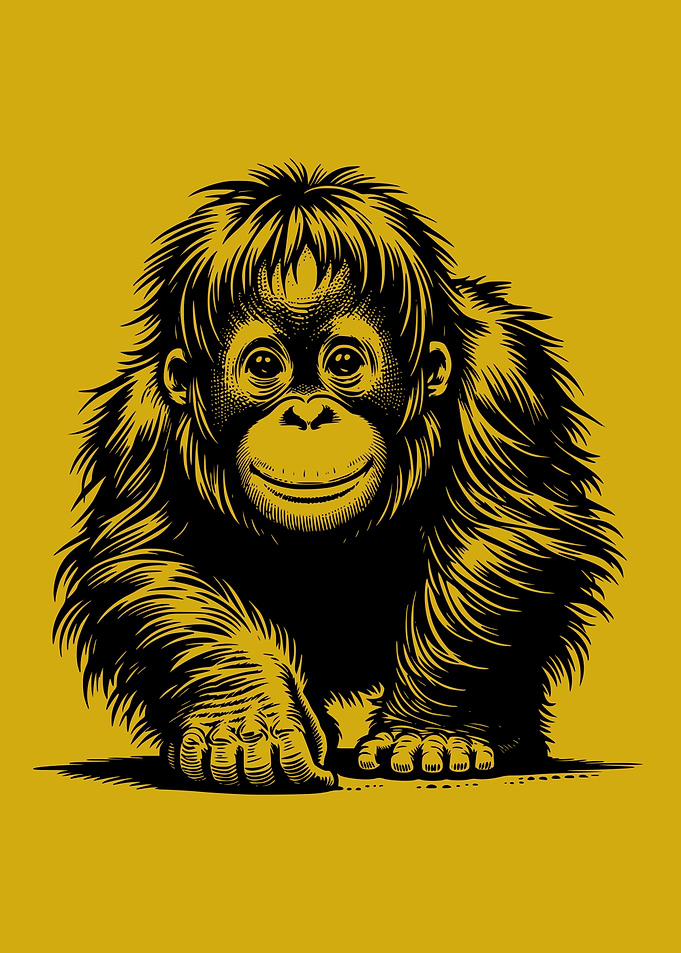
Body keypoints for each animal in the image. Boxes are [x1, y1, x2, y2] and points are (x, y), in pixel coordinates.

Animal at [54, 163, 621, 788]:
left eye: (344, 362)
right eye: (264, 366)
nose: (307, 414)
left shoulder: (505, 378)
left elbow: (501, 536)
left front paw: (433, 734)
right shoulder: (144, 419)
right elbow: (154, 560)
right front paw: (246, 721)